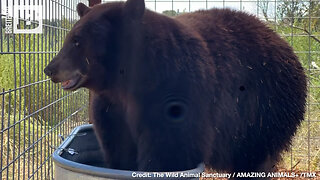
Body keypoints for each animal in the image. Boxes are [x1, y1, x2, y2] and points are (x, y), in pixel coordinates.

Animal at [44, 0, 308, 174]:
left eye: (77, 41)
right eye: (69, 38)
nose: (50, 69)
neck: (128, 84)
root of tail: (287, 47)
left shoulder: (176, 95)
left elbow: (171, 147)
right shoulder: (111, 106)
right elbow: (117, 143)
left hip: (264, 111)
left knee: (256, 158)